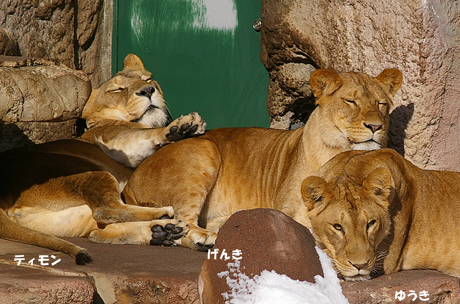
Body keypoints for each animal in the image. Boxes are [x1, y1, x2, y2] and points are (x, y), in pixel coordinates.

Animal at [0, 52, 205, 264]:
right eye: (118, 89)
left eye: (147, 80)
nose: (148, 90)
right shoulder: (113, 140)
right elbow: (145, 135)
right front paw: (180, 127)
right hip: (90, 171)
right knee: (107, 210)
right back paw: (165, 217)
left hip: (63, 217)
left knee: (98, 229)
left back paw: (164, 231)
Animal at [122, 67, 402, 251]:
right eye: (351, 101)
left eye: (381, 104)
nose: (375, 126)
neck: (343, 152)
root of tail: (132, 180)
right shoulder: (287, 211)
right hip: (203, 148)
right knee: (184, 222)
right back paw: (202, 237)